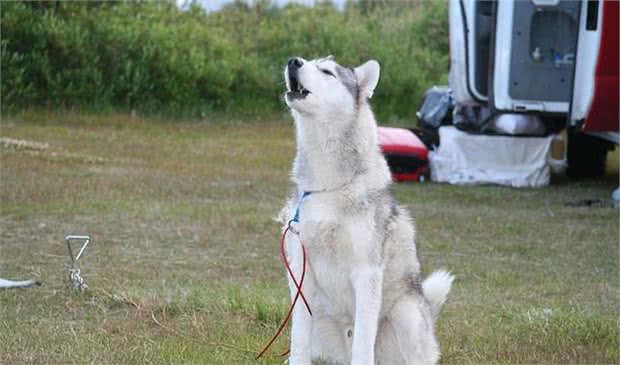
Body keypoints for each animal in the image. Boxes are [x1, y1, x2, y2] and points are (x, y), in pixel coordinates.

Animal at [278, 57, 452, 364]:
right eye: (308, 61)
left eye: (327, 71)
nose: (293, 61)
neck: (327, 187)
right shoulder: (300, 274)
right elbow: (298, 339)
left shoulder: (366, 273)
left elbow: (362, 340)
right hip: (321, 319)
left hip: (406, 314)